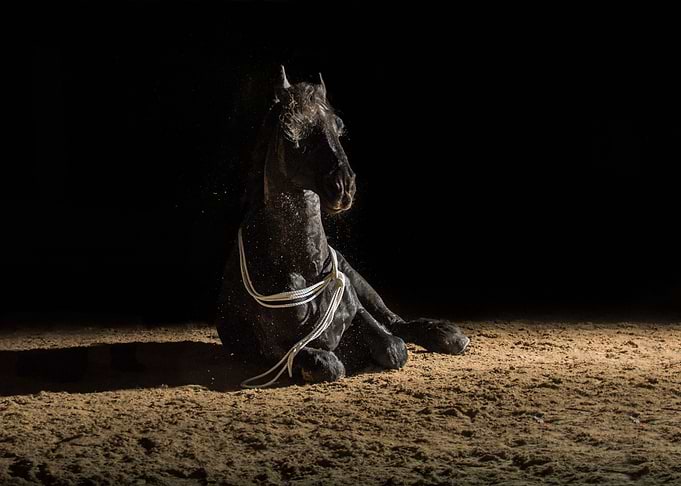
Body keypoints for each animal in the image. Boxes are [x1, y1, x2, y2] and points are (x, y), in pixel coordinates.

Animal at [216, 66, 470, 387]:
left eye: (338, 127)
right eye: (290, 129)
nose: (344, 186)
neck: (302, 265)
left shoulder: (359, 311)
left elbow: (393, 346)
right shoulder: (275, 349)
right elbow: (329, 364)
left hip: (359, 280)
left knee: (396, 321)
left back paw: (446, 334)